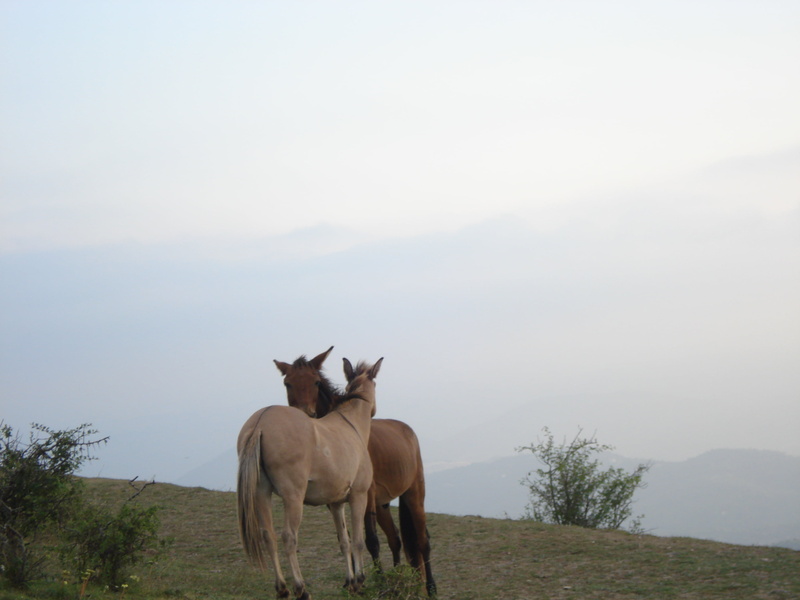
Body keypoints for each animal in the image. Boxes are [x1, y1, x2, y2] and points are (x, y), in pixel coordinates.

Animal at [237, 357, 383, 600]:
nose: (374, 412)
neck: (351, 423)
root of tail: (260, 423)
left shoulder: (335, 504)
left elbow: (344, 541)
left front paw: (350, 581)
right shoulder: (358, 497)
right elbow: (358, 541)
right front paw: (360, 580)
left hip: (261, 493)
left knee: (268, 535)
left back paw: (282, 588)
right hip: (293, 498)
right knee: (288, 537)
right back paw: (300, 588)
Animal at [274, 347, 436, 596]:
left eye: (316, 382)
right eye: (287, 383)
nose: (304, 416)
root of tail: (406, 429)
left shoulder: (364, 495)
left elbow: (370, 540)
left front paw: (374, 582)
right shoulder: (338, 498)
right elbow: (347, 538)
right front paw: (352, 581)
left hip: (414, 494)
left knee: (422, 540)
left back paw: (430, 587)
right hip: (382, 504)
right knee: (395, 539)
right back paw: (398, 577)